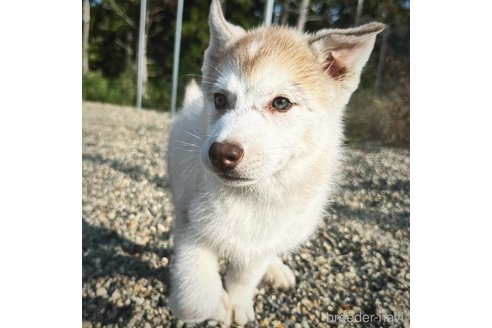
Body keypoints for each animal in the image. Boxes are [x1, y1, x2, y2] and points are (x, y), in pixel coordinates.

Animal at [167, 0, 382, 322]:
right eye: (219, 99)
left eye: (281, 103)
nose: (220, 154)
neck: (252, 197)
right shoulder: (189, 225)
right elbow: (194, 295)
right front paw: (218, 306)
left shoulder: (261, 243)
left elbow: (245, 276)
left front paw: (239, 302)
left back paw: (276, 269)